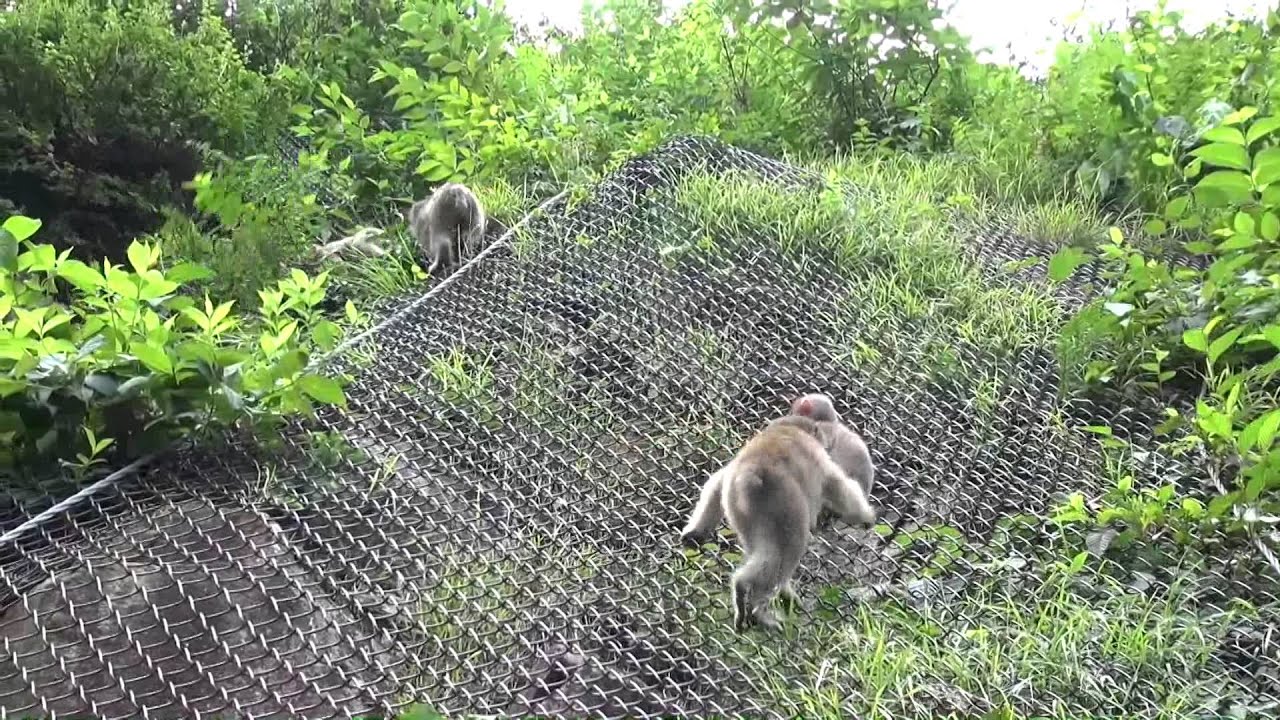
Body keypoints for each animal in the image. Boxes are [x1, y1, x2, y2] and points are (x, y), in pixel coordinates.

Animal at [679, 416, 876, 632]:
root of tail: (749, 474)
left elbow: (715, 482)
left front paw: (695, 531)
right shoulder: (820, 461)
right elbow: (840, 488)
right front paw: (866, 516)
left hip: (744, 511)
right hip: (785, 503)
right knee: (790, 546)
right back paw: (750, 594)